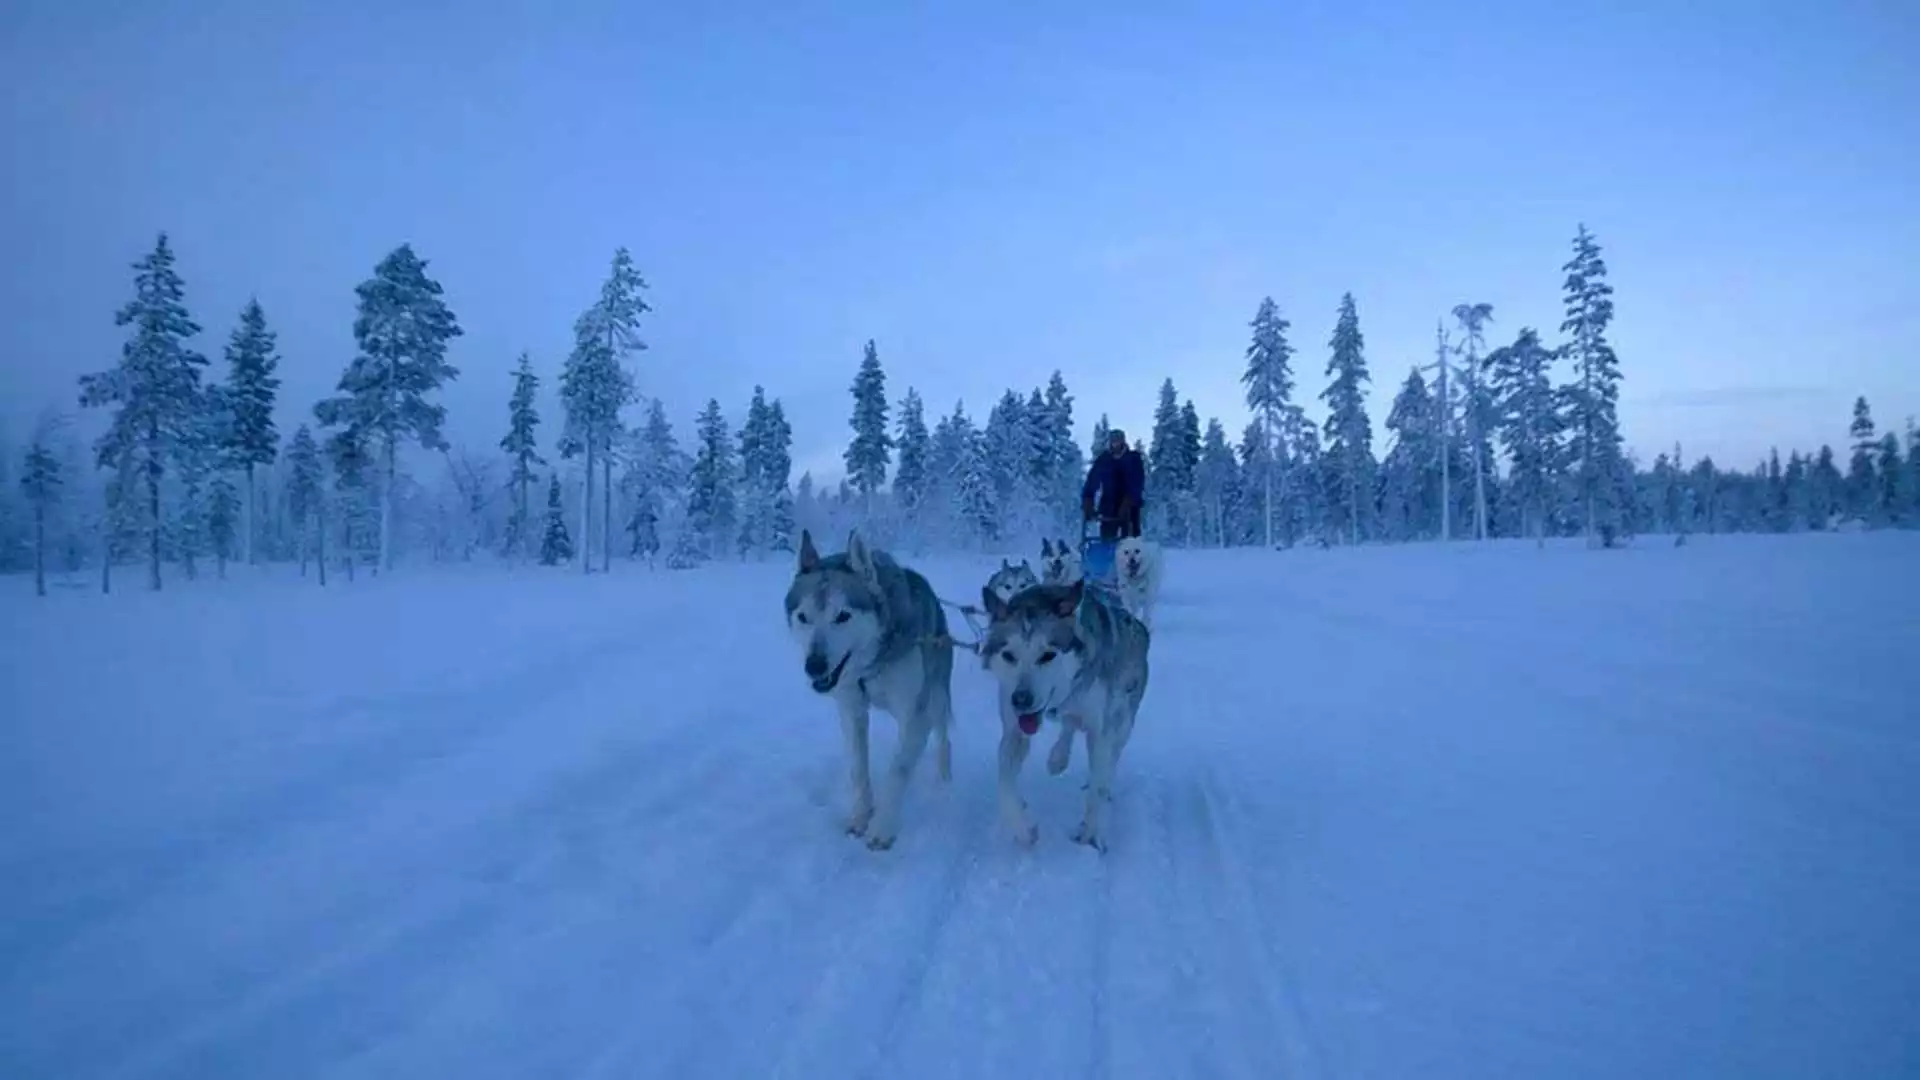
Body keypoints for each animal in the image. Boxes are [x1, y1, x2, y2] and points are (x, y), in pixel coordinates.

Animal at [783, 526, 956, 845]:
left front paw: (882, 828)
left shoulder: (914, 715)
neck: (871, 667)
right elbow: (859, 770)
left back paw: (944, 782)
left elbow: (898, 770)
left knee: (942, 739)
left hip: (936, 698)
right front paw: (861, 816)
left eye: (843, 615)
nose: (814, 665)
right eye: (803, 617)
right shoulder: (851, 710)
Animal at [983, 576, 1144, 853]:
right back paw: (1058, 758)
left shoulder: (1099, 731)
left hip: (1122, 721)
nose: (1020, 700)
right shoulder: (1014, 731)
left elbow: (1096, 789)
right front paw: (1024, 830)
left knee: (1111, 757)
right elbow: (1004, 786)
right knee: (1068, 725)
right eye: (1009, 655)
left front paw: (1090, 835)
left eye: (1048, 655)